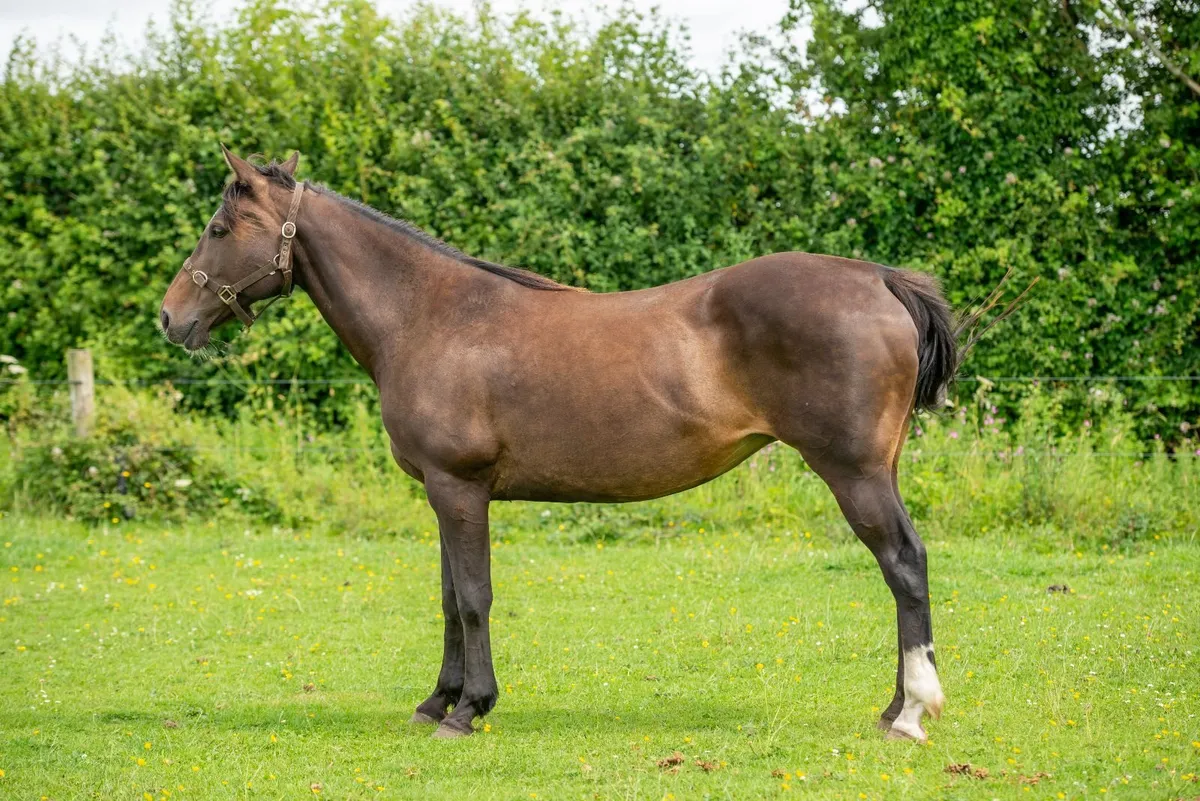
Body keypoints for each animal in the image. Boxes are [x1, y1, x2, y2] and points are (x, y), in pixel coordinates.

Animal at [160, 146, 1017, 741]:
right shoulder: (444, 492)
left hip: (855, 473)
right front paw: (438, 698)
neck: (431, 314)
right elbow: (447, 598)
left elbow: (472, 597)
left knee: (904, 565)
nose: (171, 318)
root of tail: (877, 278)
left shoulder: (460, 488)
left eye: (219, 228)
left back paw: (911, 713)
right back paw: (892, 705)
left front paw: (469, 709)